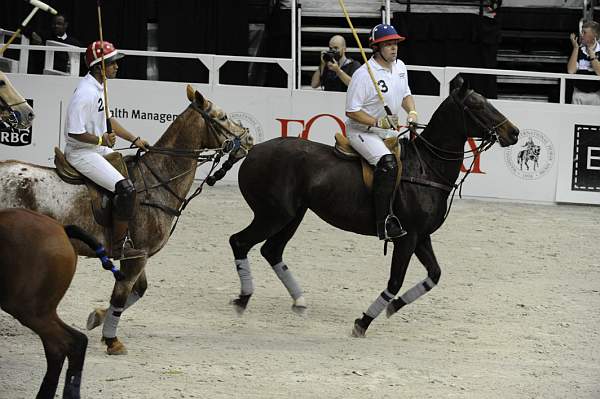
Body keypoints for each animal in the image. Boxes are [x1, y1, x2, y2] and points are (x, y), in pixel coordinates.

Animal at [0, 85, 253, 354]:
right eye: (222, 117)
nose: (249, 139)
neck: (158, 180)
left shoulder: (136, 254)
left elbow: (138, 291)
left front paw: (97, 317)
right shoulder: (136, 255)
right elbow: (121, 295)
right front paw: (112, 340)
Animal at [230, 79, 520, 338]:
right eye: (477, 105)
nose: (514, 132)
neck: (427, 167)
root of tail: (253, 150)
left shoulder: (421, 236)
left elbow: (435, 274)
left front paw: (394, 307)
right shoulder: (407, 238)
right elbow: (395, 281)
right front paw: (363, 322)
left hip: (293, 215)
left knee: (272, 250)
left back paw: (299, 301)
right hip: (272, 214)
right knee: (239, 241)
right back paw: (243, 298)